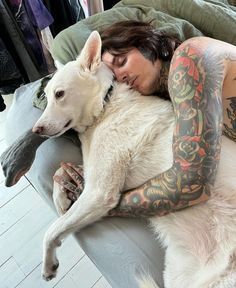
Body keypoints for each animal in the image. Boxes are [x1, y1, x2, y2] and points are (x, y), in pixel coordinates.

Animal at [32, 32, 236, 288]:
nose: (35, 130)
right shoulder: (94, 173)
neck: (105, 105)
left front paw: (48, 264)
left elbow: (52, 231)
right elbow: (59, 174)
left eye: (59, 94)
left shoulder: (99, 192)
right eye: (47, 95)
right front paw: (60, 201)